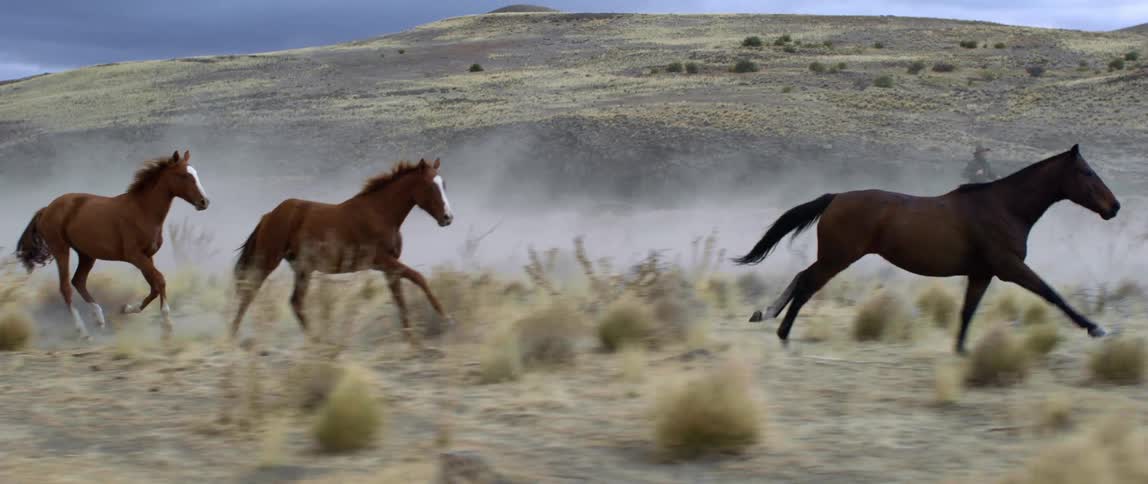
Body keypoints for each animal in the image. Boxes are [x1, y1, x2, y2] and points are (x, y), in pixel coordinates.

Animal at [15, 150, 211, 340]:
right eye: (184, 175)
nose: (204, 202)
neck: (142, 211)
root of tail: (47, 209)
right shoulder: (135, 256)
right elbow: (160, 280)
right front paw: (167, 325)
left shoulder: (148, 256)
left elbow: (154, 286)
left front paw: (125, 308)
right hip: (61, 249)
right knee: (66, 287)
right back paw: (83, 332)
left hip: (86, 254)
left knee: (78, 281)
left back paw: (99, 319)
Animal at [229, 158, 455, 347]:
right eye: (430, 186)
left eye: (444, 184)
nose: (448, 218)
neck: (380, 214)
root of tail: (269, 215)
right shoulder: (383, 260)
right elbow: (419, 278)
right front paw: (445, 318)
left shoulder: (389, 267)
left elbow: (400, 299)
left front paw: (412, 338)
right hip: (268, 260)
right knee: (249, 294)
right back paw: (233, 336)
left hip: (303, 268)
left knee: (295, 302)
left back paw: (318, 341)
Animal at [732, 144, 1120, 355]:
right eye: (1087, 173)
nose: (1114, 207)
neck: (1004, 207)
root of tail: (836, 198)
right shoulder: (1009, 267)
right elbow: (1052, 294)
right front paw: (1095, 328)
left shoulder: (982, 273)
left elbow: (967, 311)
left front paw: (961, 350)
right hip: (839, 257)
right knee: (807, 284)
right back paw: (782, 333)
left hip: (833, 256)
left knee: (801, 276)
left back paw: (766, 314)